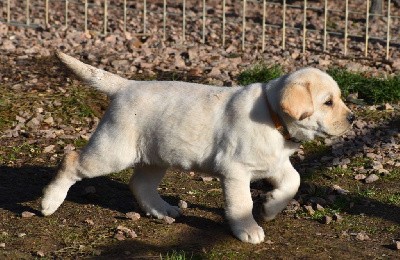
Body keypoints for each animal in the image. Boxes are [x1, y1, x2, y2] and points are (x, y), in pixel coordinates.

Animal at [41, 52, 354, 244]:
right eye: (328, 102)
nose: (352, 118)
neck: (272, 115)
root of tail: (126, 86)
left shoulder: (275, 163)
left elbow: (294, 181)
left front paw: (270, 208)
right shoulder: (235, 171)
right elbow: (242, 203)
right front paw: (249, 228)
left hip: (156, 156)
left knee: (140, 184)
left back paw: (162, 210)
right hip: (112, 151)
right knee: (71, 159)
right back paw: (49, 202)